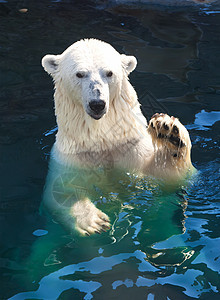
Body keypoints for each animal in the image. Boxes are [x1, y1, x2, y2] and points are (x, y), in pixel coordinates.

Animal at [41, 37, 194, 236]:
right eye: (79, 74)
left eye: (109, 73)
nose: (97, 103)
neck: (104, 140)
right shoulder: (71, 159)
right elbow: (60, 192)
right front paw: (94, 221)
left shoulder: (131, 147)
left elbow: (167, 179)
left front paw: (169, 133)